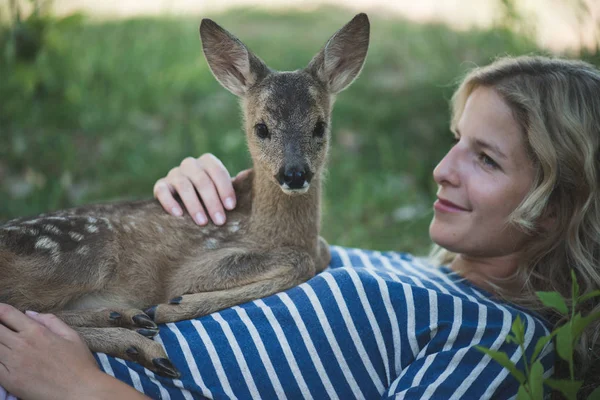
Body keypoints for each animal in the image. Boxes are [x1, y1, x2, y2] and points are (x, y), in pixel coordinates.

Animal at [0, 13, 370, 378]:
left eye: (320, 126)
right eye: (261, 128)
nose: (294, 174)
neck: (266, 228)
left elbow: (321, 251)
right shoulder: (194, 264)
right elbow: (302, 260)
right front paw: (175, 305)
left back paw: (127, 321)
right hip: (84, 253)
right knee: (21, 310)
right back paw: (140, 339)